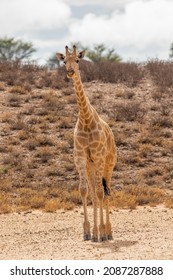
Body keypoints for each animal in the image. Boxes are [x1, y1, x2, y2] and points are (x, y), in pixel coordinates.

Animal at [56, 44, 116, 242]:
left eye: (78, 60)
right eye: (64, 61)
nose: (70, 72)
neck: (86, 120)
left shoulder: (98, 157)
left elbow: (99, 193)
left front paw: (101, 233)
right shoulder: (81, 158)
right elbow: (84, 191)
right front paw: (88, 232)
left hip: (107, 164)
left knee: (105, 191)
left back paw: (108, 232)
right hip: (91, 166)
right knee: (95, 192)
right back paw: (99, 231)